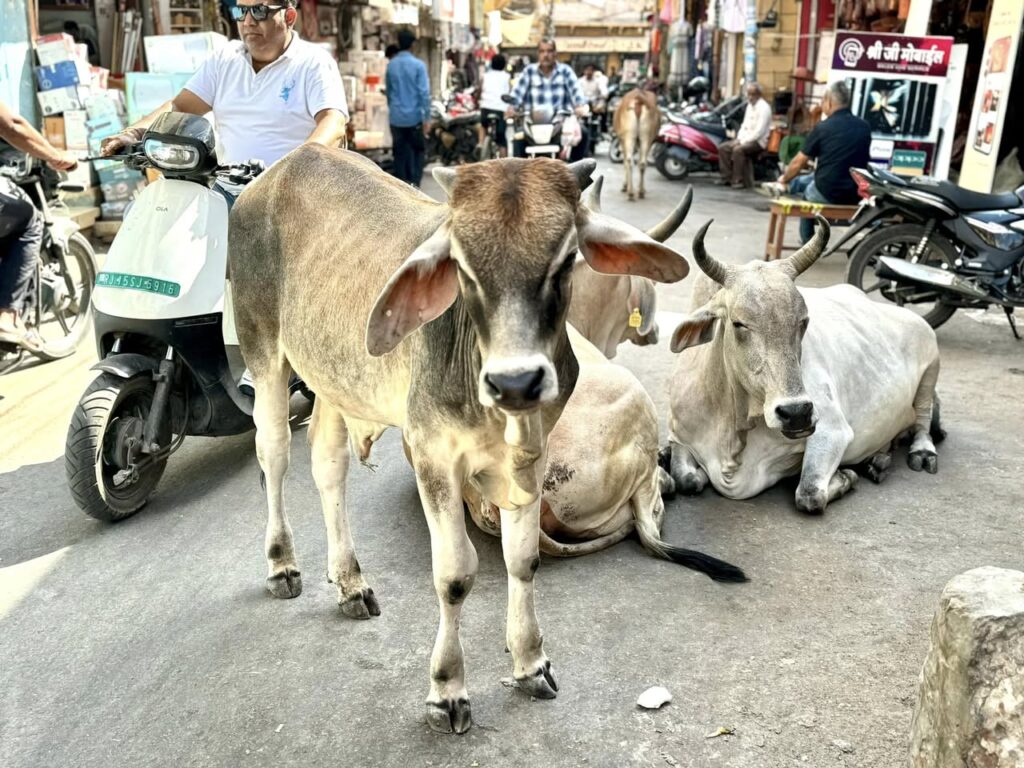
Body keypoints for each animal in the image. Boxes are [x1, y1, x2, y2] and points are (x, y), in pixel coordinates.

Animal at [663, 217, 943, 514]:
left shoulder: (832, 431)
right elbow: (686, 479)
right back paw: (876, 461)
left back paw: (920, 452)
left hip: (931, 367)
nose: (796, 412)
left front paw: (846, 476)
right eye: (739, 324)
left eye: (804, 320)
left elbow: (809, 494)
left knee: (922, 419)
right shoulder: (679, 434)